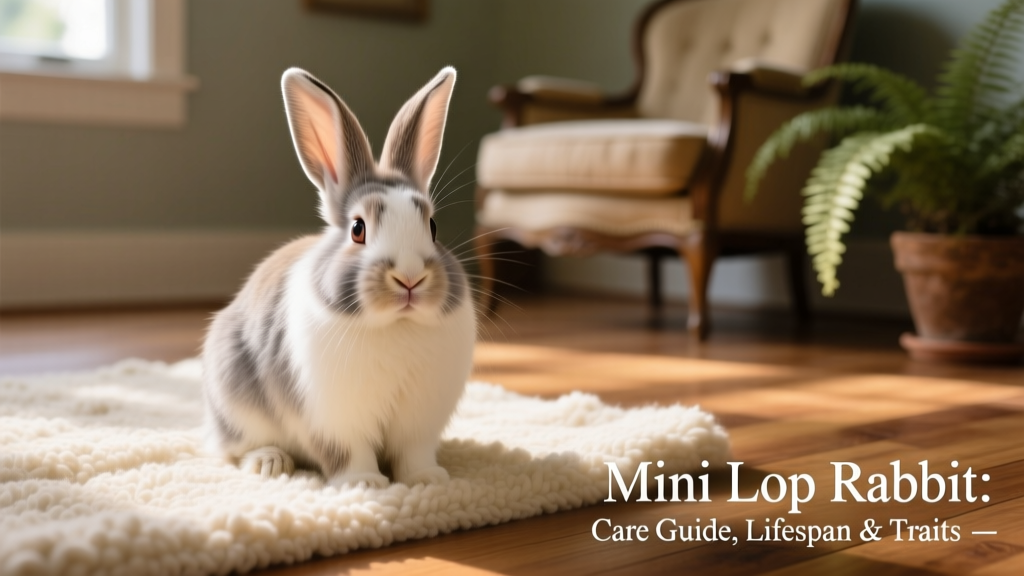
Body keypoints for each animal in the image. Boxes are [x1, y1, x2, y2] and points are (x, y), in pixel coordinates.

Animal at [201, 66, 475, 489]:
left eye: (432, 227)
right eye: (358, 229)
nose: (410, 279)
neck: (396, 325)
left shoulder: (418, 424)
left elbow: (414, 454)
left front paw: (428, 481)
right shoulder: (334, 420)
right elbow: (350, 453)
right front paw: (364, 483)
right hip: (235, 399)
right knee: (235, 447)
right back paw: (270, 463)